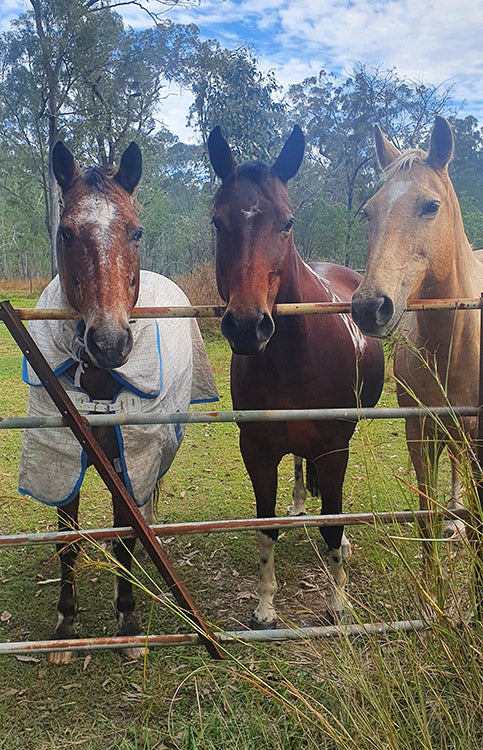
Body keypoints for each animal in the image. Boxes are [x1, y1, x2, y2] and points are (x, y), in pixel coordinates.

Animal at [18, 144, 216, 660]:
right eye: (65, 232)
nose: (109, 342)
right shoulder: (66, 456)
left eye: (136, 230)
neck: (101, 384)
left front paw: (126, 621)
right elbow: (68, 542)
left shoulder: (129, 458)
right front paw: (66, 627)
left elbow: (126, 538)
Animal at [208, 125, 386, 628]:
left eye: (286, 222)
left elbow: (333, 523)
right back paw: (300, 503)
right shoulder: (257, 450)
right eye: (217, 222)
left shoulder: (334, 446)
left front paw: (339, 602)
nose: (248, 325)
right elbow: (264, 529)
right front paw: (265, 606)